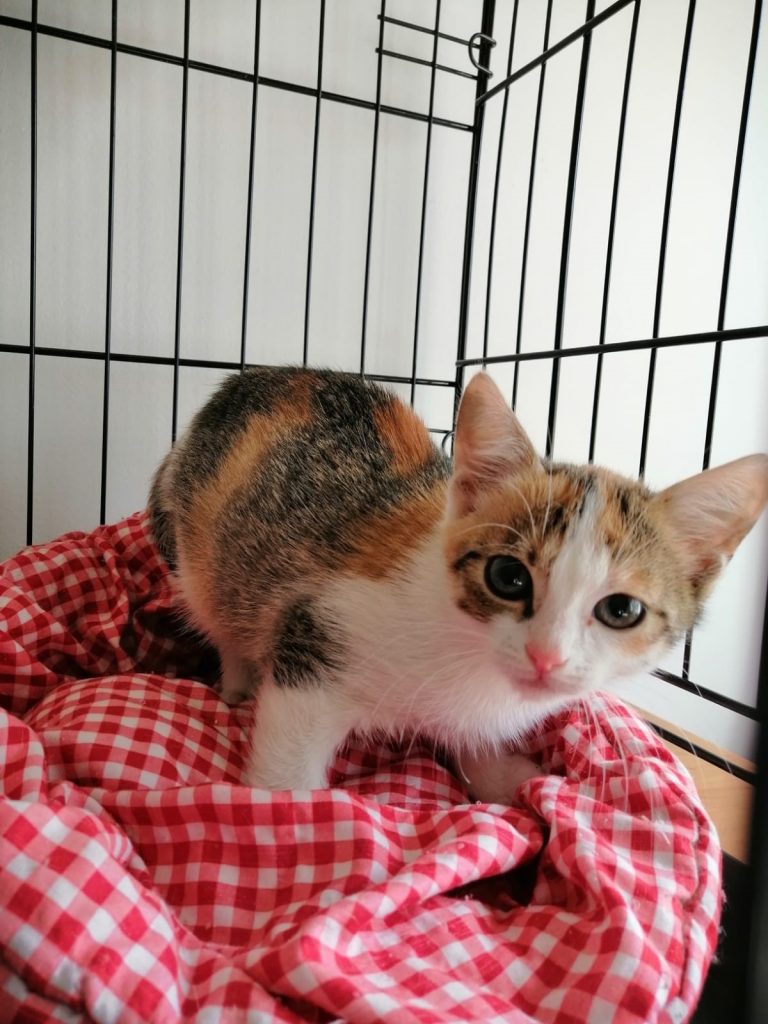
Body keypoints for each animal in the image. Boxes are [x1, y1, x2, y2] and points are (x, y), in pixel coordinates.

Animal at [148, 367, 768, 804]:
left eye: (621, 610)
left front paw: (499, 773)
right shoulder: (316, 634)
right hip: (198, 556)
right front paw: (282, 818)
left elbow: (470, 736)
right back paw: (237, 680)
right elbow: (290, 760)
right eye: (508, 577)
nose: (546, 657)